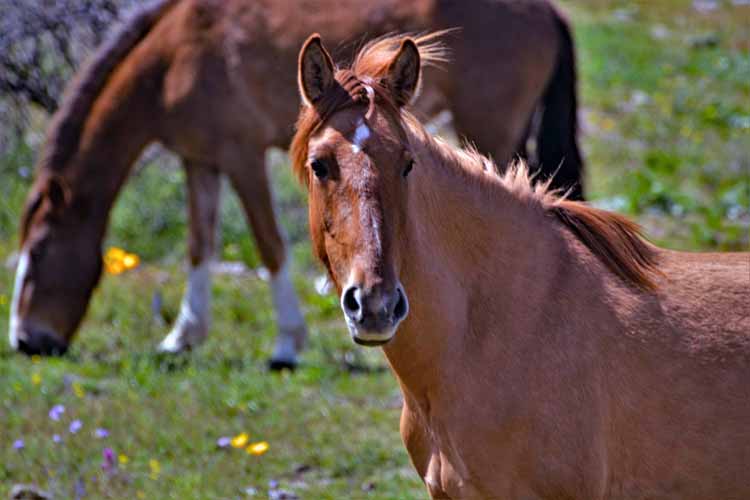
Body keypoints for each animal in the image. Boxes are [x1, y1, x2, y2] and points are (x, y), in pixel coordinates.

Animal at [8, 0, 580, 362]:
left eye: (38, 253)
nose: (25, 340)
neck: (173, 57)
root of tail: (547, 10)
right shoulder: (200, 161)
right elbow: (199, 245)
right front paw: (183, 336)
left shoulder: (241, 157)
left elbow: (269, 244)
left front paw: (287, 342)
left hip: (489, 132)